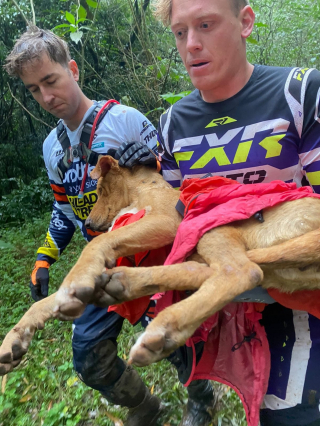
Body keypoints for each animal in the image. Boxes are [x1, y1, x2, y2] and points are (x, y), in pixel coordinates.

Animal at [1, 155, 320, 374]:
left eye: (100, 189)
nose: (88, 223)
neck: (142, 188)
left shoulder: (168, 222)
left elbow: (94, 247)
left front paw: (75, 282)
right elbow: (48, 299)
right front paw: (16, 337)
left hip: (209, 225)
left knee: (241, 271)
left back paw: (164, 328)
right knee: (204, 271)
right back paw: (124, 284)